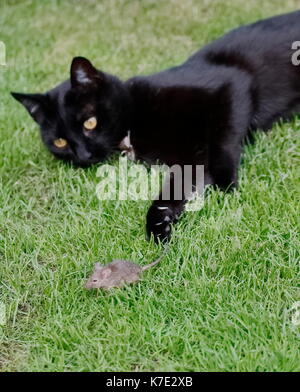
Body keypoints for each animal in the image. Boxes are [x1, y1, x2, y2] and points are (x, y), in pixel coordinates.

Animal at [10, 9, 300, 242]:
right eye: (60, 142)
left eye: (90, 123)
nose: (83, 154)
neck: (135, 120)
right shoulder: (188, 161)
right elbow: (172, 192)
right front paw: (160, 226)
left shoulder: (232, 84)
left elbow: (224, 139)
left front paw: (226, 186)